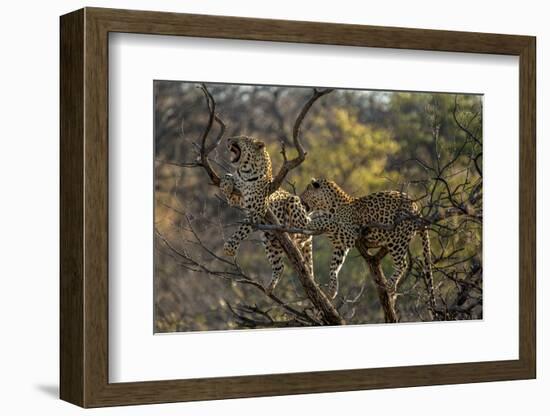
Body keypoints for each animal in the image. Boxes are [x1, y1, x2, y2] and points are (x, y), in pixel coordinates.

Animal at [221, 135, 314, 294]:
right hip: (269, 241)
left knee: (305, 232)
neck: (245, 172)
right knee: (280, 266)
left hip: (295, 205)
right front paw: (225, 185)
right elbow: (229, 177)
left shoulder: (257, 209)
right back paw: (270, 287)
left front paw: (230, 247)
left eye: (241, 138)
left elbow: (241, 230)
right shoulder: (237, 199)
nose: (228, 139)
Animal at [300, 177, 438, 310]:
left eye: (306, 190)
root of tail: (416, 207)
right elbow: (333, 266)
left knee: (402, 263)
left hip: (398, 239)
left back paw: (390, 285)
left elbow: (329, 222)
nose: (300, 198)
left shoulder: (349, 232)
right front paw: (332, 290)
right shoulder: (341, 245)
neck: (326, 207)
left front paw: (311, 222)